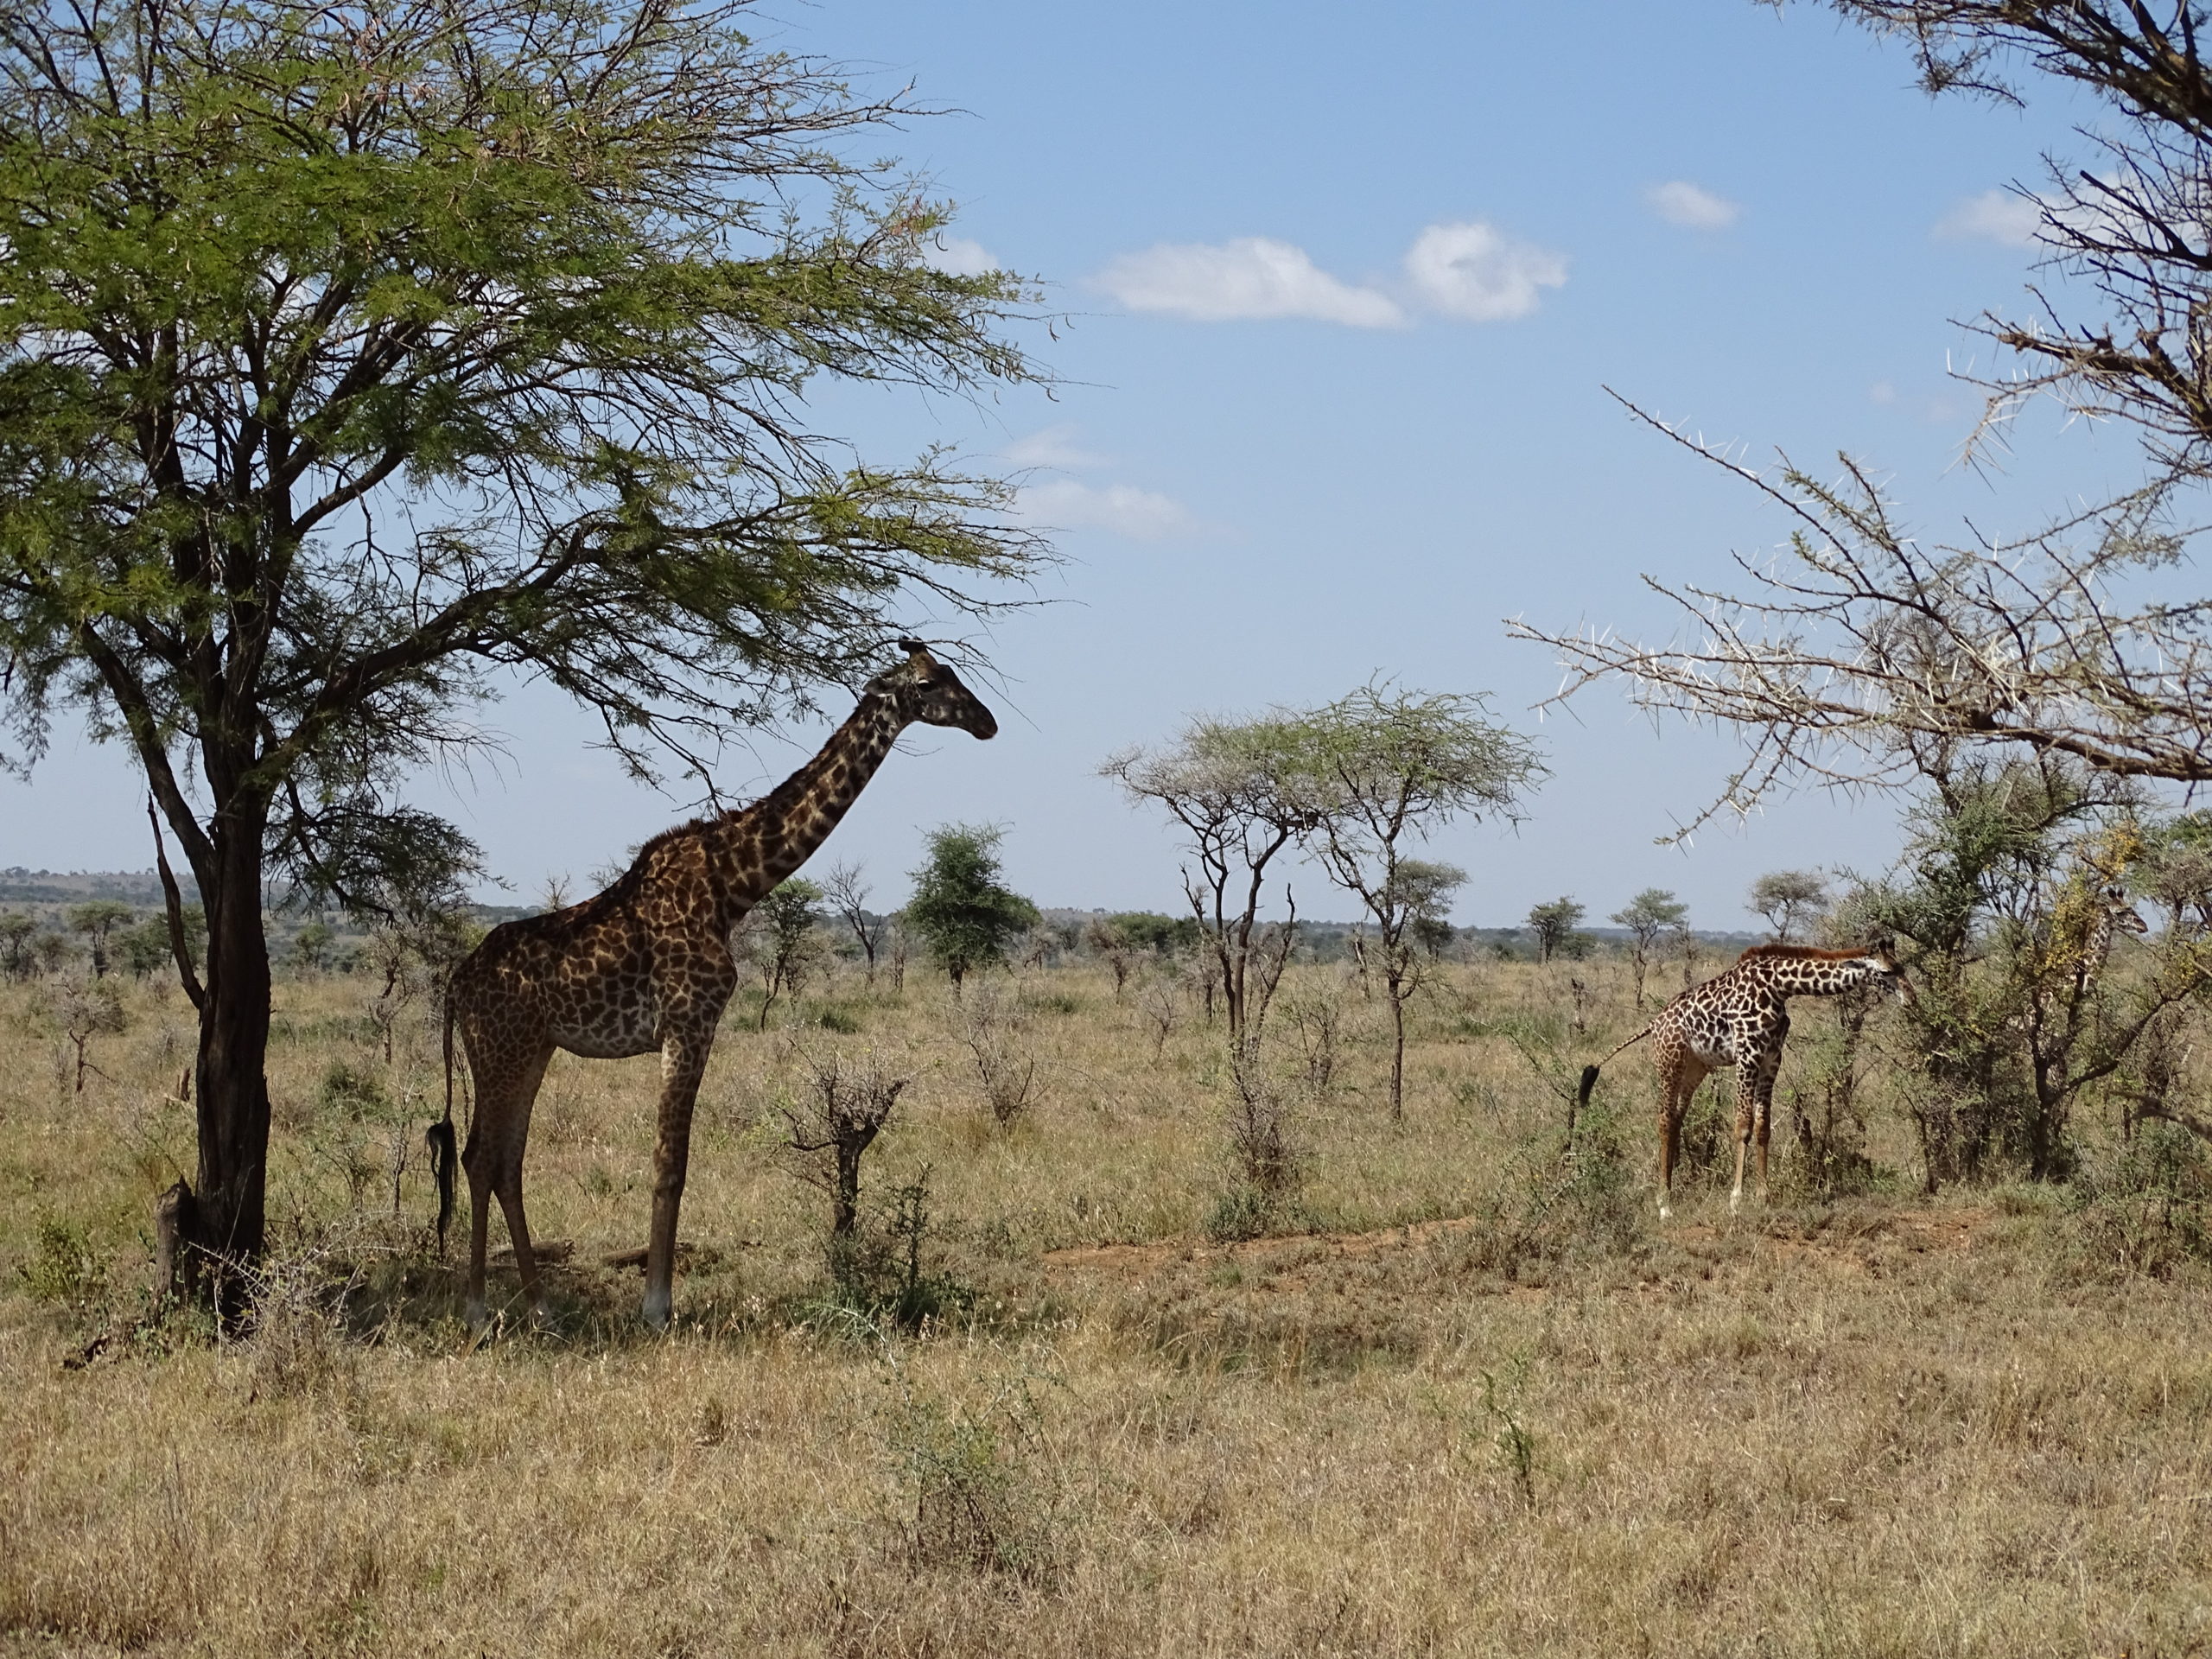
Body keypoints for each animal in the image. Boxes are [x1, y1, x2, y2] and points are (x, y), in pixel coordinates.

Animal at [433, 641, 1004, 1336]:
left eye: (952, 672)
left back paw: (540, 1307)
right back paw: (477, 1311)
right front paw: (656, 1308)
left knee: (504, 1163)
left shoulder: (689, 1026)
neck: (735, 885)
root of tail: (456, 984)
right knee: (479, 1158)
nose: (987, 723)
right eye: (928, 683)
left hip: (532, 1050)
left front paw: (654, 1302)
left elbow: (669, 1164)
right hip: (500, 1050)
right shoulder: (688, 1021)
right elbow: (668, 1166)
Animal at [1574, 946, 1902, 1221]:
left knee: (1677, 1119)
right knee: (1664, 1121)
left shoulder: (1772, 1059)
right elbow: (1743, 1127)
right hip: (1669, 1063)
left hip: (1696, 1068)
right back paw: (1664, 1203)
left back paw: (1671, 1185)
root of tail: (1654, 1024)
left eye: (1903, 967)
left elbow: (1763, 1128)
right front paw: (1736, 1199)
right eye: (1887, 972)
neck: (1778, 986)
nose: (1908, 996)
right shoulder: (1747, 1056)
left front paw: (1763, 1196)